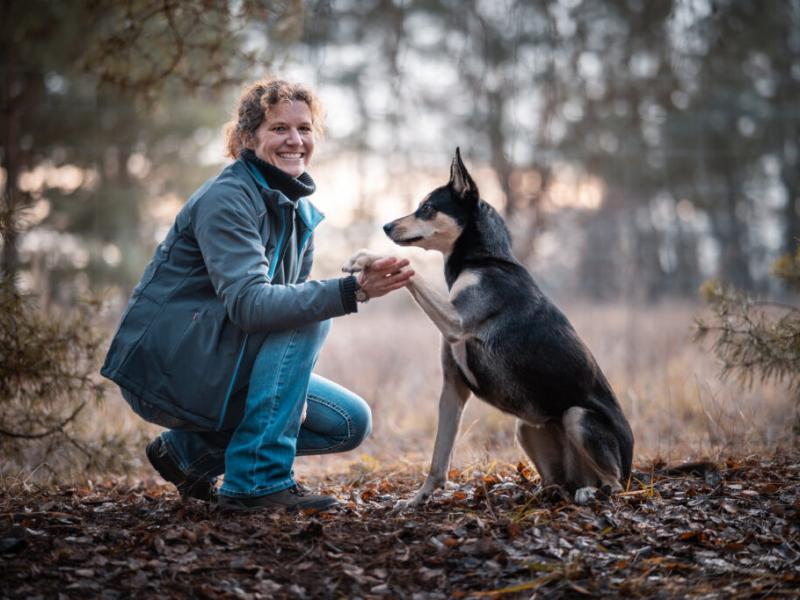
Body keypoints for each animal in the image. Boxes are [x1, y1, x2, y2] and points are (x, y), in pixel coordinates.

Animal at [346, 149, 636, 506]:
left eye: (427, 208)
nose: (386, 226)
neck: (483, 260)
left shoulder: (456, 322)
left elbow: (410, 268)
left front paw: (367, 257)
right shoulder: (453, 386)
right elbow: (439, 460)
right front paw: (418, 499)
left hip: (578, 417)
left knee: (613, 483)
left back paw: (592, 492)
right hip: (526, 426)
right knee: (557, 481)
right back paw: (539, 493)